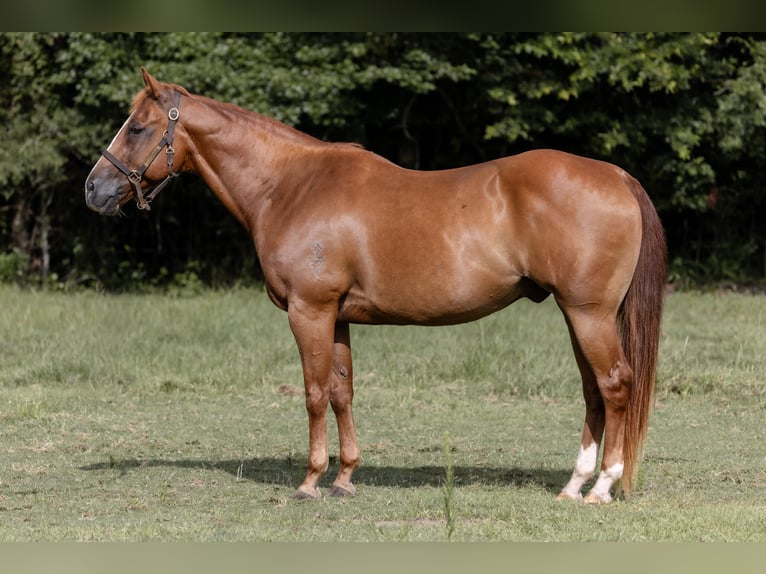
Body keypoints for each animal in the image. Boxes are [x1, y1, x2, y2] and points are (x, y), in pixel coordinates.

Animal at [85, 68, 666, 503]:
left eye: (137, 128)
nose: (94, 188)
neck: (291, 186)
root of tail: (617, 176)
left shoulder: (310, 311)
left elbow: (314, 393)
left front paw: (310, 481)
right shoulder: (337, 316)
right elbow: (342, 391)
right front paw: (344, 478)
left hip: (588, 313)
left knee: (615, 385)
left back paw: (602, 487)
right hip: (577, 315)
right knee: (593, 391)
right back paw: (574, 485)